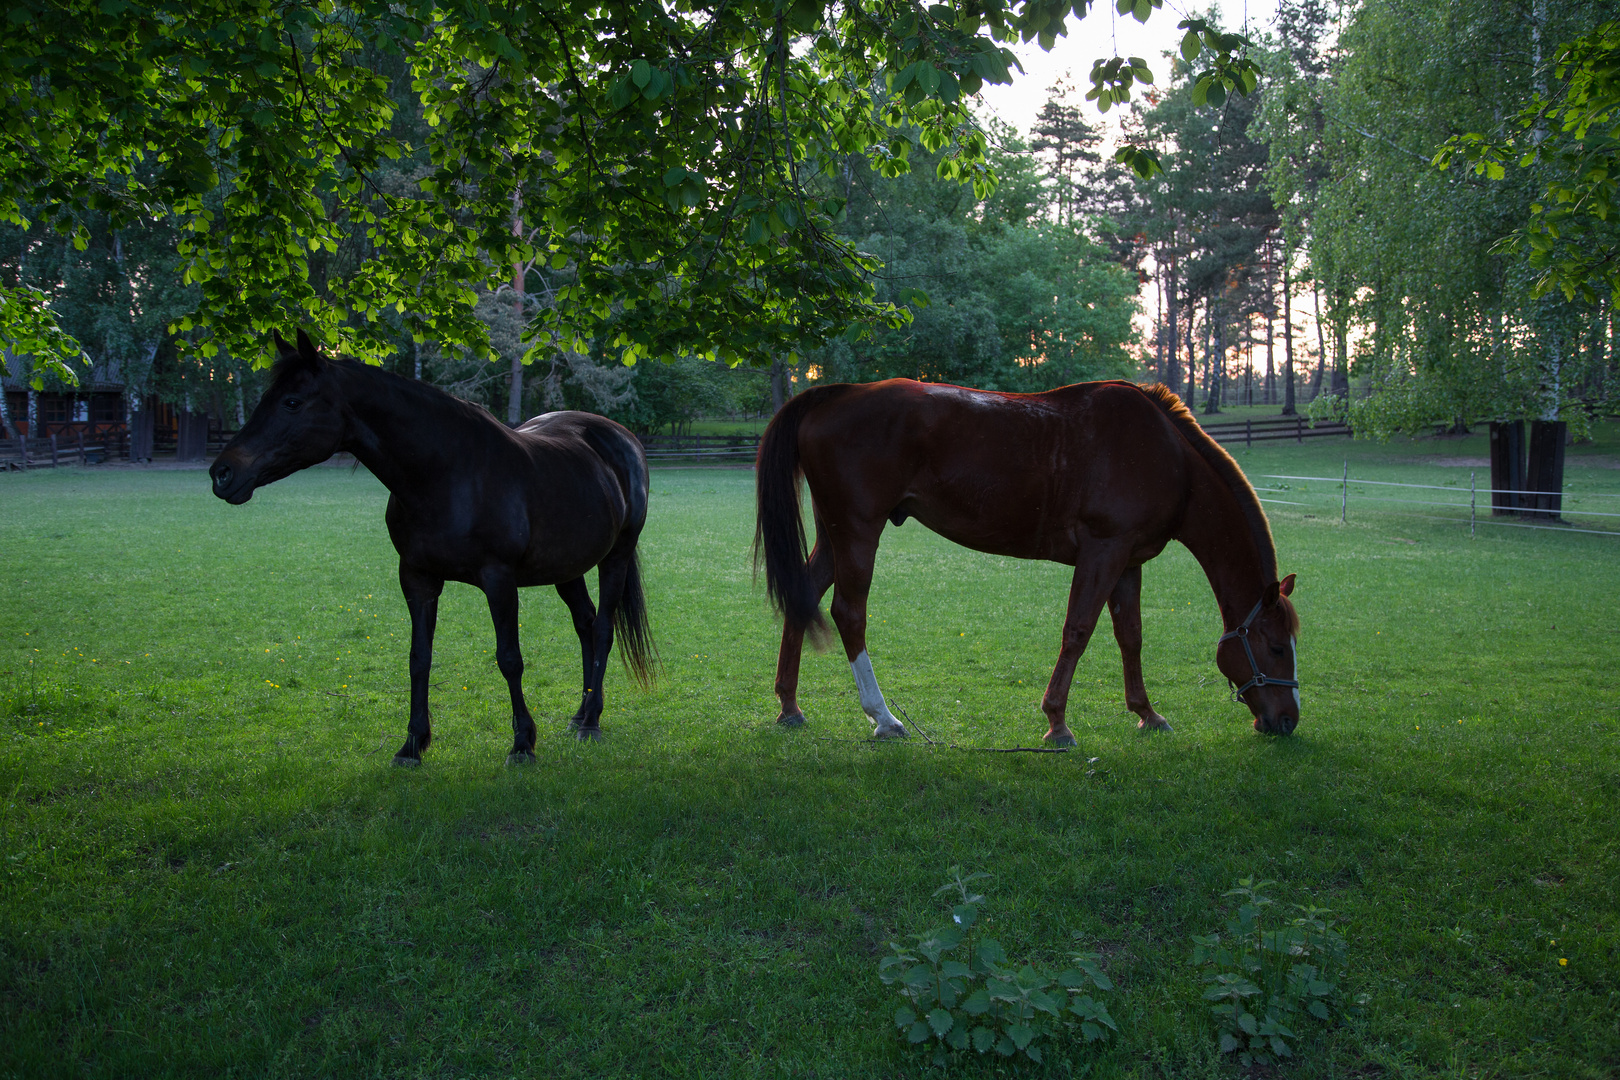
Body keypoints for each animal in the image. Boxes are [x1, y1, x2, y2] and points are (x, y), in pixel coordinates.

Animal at [212, 333, 654, 764]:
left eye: (292, 402)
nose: (222, 473)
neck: (447, 473)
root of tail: (621, 438)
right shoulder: (417, 578)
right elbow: (418, 659)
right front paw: (412, 745)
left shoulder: (499, 580)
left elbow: (509, 658)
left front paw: (522, 743)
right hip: (567, 567)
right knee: (585, 623)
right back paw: (581, 712)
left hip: (614, 558)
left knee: (602, 628)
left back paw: (590, 722)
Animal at [758, 380, 1302, 744]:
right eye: (1276, 647)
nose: (1288, 719)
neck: (1169, 456)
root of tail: (835, 394)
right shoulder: (1104, 551)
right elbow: (1078, 630)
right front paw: (1057, 722)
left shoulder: (1128, 561)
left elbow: (1131, 636)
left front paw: (1147, 713)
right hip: (858, 533)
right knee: (849, 615)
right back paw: (883, 717)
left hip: (836, 536)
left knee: (804, 598)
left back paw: (789, 705)